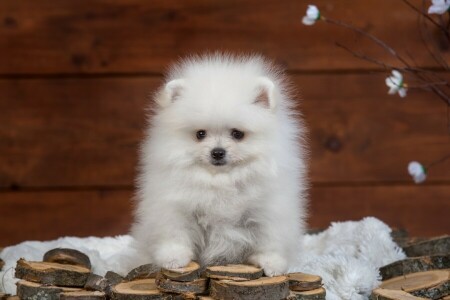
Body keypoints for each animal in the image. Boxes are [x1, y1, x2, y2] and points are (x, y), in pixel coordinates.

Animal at [128, 54, 308, 276]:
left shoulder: (268, 211)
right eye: (200, 134)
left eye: (237, 134)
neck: (221, 181)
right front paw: (173, 259)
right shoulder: (174, 209)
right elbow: (175, 234)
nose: (217, 152)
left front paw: (271, 264)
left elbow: (269, 240)